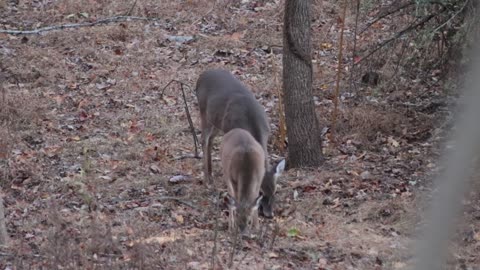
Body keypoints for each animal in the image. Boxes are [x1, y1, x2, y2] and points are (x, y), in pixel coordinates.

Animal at [195, 68, 284, 218]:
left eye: (275, 190)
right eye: (260, 192)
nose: (269, 214)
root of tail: (202, 75)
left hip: (217, 121)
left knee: (210, 139)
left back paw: (211, 174)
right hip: (204, 111)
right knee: (204, 139)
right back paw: (207, 180)